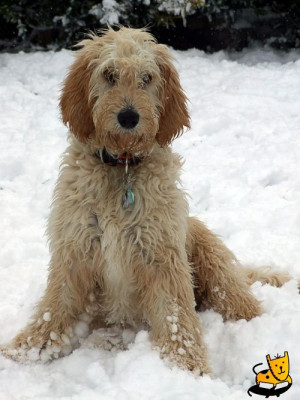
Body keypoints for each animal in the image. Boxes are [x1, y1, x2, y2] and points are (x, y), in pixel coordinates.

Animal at [0, 26, 290, 374]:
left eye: (147, 77)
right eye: (109, 74)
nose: (128, 117)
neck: (122, 166)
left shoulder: (161, 254)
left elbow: (175, 314)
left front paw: (187, 367)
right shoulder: (75, 250)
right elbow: (54, 309)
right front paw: (24, 352)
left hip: (209, 255)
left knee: (242, 303)